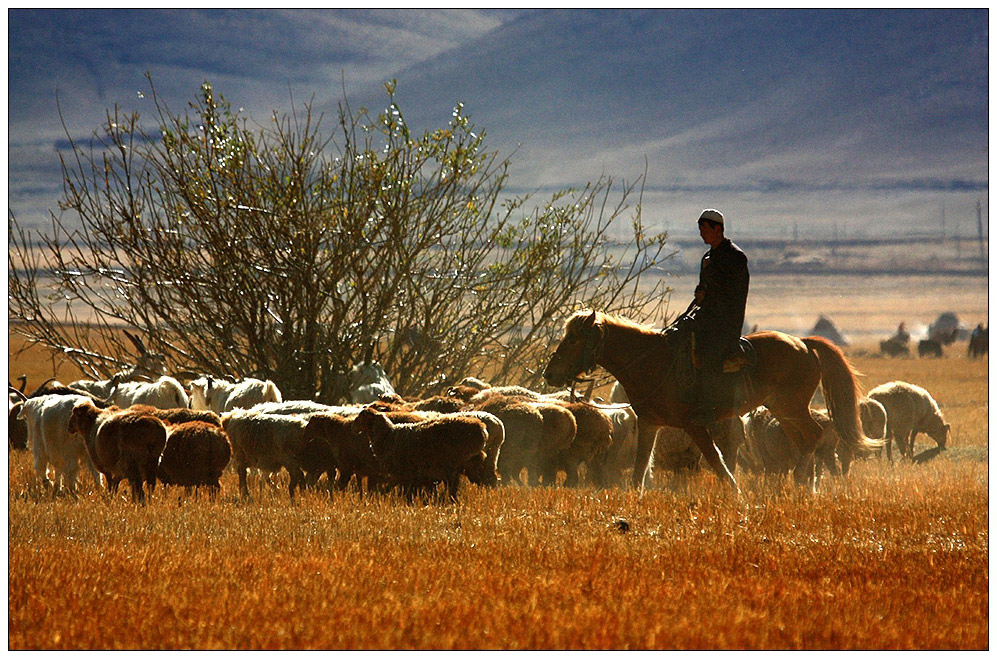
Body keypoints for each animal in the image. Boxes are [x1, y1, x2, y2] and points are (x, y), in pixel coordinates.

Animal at [536, 312, 880, 492]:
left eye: (574, 339)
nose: (549, 373)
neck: (652, 361)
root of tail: (804, 344)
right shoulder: (650, 423)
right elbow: (640, 466)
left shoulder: (694, 425)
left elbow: (717, 461)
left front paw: (736, 493)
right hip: (783, 410)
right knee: (806, 438)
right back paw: (806, 485)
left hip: (791, 406)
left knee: (813, 436)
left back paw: (802, 481)